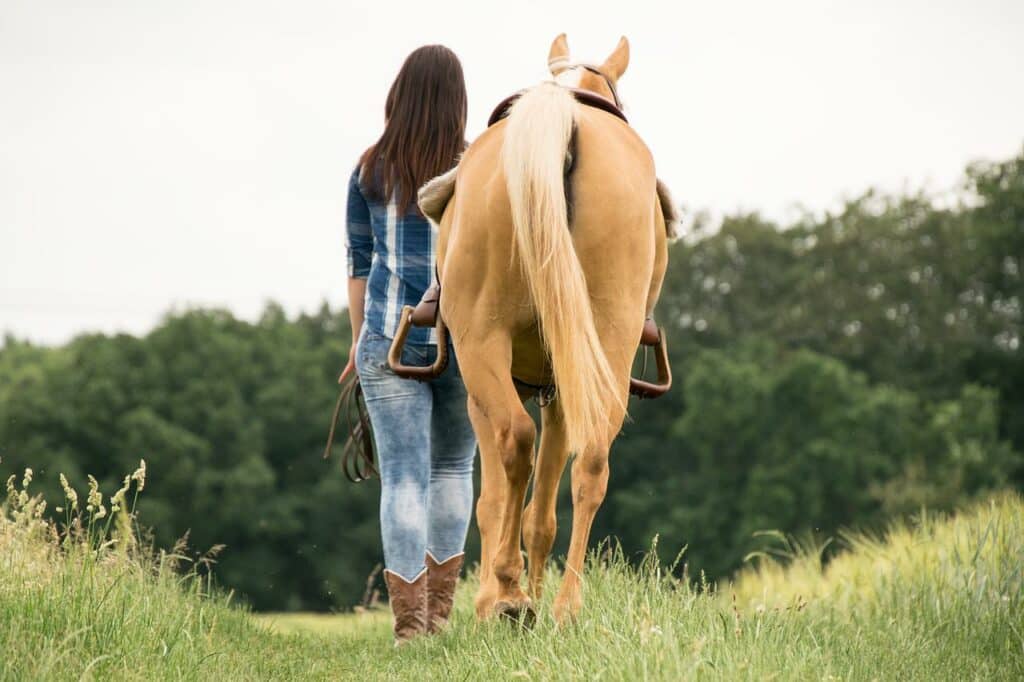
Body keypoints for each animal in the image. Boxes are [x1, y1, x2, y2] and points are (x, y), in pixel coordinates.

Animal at [405, 35, 671, 622]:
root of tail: (559, 116)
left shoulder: (481, 392)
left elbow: (494, 500)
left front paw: (495, 594)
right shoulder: (562, 388)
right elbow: (542, 512)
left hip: (484, 346)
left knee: (515, 440)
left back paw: (507, 593)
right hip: (602, 344)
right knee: (591, 458)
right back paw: (565, 606)